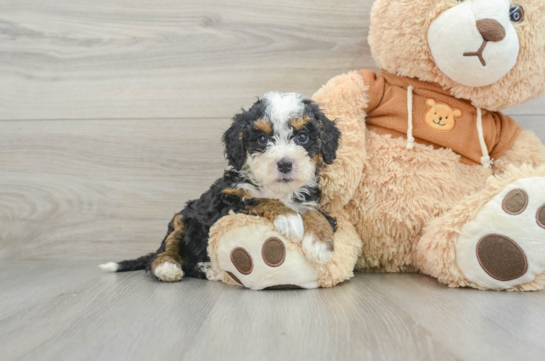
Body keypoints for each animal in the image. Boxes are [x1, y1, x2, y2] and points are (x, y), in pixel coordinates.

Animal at [100, 92, 340, 282]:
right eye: (263, 139)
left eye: (303, 137)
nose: (285, 164)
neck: (277, 189)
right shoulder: (227, 201)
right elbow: (258, 199)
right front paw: (288, 218)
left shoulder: (309, 199)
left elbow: (313, 212)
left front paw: (320, 243)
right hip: (180, 219)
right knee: (167, 250)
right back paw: (168, 267)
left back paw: (209, 269)